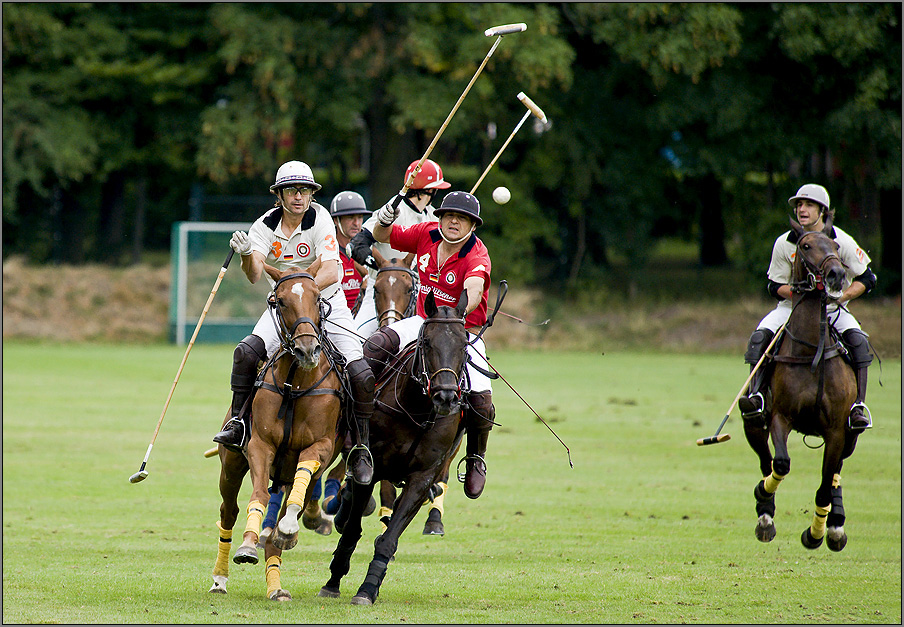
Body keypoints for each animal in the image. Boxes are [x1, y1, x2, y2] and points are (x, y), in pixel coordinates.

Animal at [210, 264, 344, 600]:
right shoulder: (261, 445)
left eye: (317, 297)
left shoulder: (320, 447)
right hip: (231, 465)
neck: (295, 383)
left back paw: (277, 584)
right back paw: (220, 578)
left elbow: (293, 502)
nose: (308, 349)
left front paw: (288, 530)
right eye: (280, 301)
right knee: (228, 511)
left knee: (286, 514)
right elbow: (257, 495)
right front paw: (247, 545)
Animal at [318, 290, 470, 604]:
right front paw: (333, 580)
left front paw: (368, 589)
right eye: (427, 342)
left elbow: (389, 540)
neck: (417, 410)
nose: (447, 397)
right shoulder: (372, 466)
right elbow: (352, 530)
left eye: (464, 344)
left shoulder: (421, 478)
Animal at [744, 218, 864, 552]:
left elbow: (825, 484)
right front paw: (763, 496)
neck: (811, 349)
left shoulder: (836, 431)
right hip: (753, 424)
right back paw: (765, 514)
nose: (836, 274)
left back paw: (835, 524)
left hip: (851, 436)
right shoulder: (780, 418)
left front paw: (817, 532)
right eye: (805, 247)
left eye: (835, 245)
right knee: (765, 459)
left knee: (834, 475)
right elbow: (781, 463)